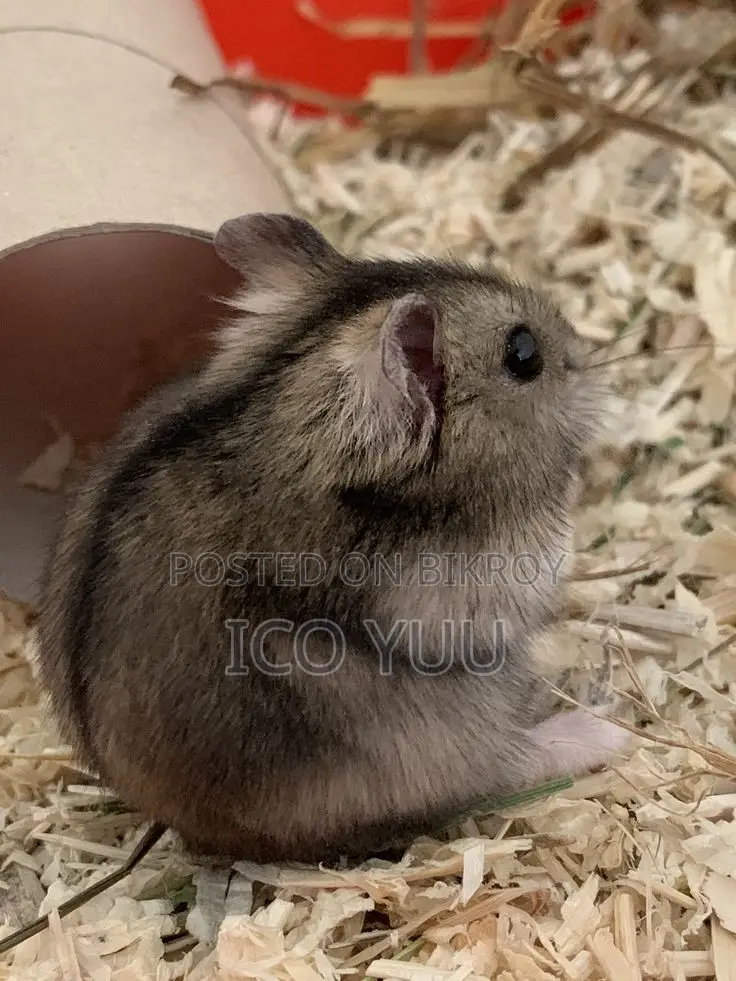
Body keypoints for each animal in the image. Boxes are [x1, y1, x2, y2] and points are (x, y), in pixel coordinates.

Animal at [36, 213, 629, 864]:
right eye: (523, 353)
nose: (588, 357)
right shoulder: (458, 594)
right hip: (441, 736)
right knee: (504, 767)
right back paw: (606, 731)